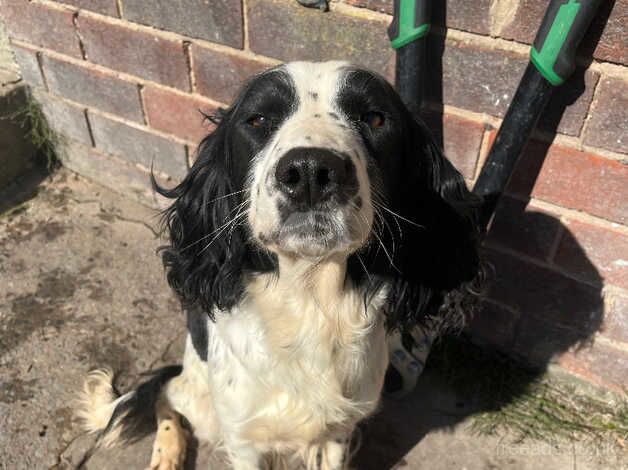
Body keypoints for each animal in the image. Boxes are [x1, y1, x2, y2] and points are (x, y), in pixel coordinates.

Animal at [77, 61, 480, 470]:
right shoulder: (244, 439)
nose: (310, 173)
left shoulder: (338, 429)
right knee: (167, 392)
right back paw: (167, 454)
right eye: (258, 120)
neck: (310, 302)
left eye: (375, 118)